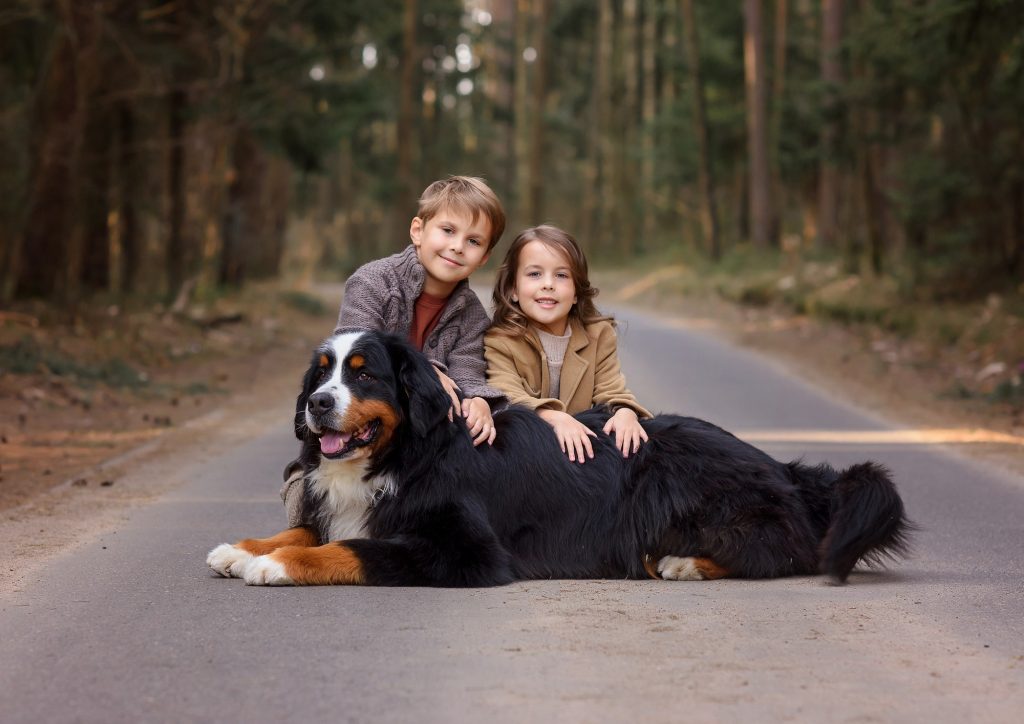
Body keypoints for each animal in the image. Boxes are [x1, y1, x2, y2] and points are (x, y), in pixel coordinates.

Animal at [207, 331, 913, 585]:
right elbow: (310, 527)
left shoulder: (466, 549)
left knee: (785, 551)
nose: (318, 404)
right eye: (321, 373)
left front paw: (276, 566)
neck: (406, 454)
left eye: (364, 373)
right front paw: (243, 547)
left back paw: (682, 562)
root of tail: (783, 468)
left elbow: (350, 549)